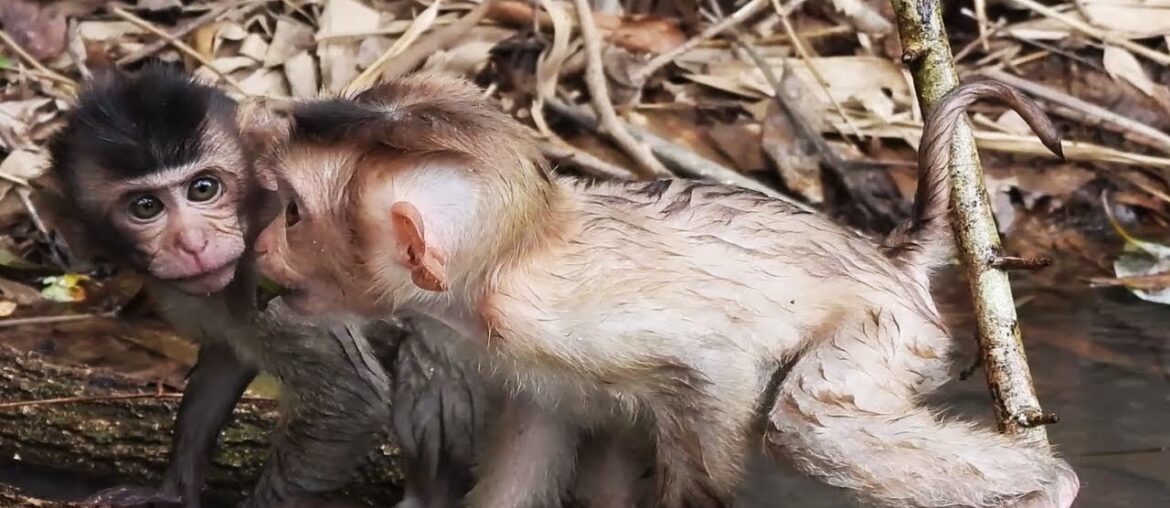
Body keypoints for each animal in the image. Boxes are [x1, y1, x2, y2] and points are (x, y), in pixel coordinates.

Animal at [39, 63, 491, 508]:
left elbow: (349, 399)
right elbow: (224, 360)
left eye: (203, 188)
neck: (251, 214)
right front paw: (172, 493)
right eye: (146, 207)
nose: (193, 243)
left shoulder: (275, 278)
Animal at [249, 73, 1081, 508]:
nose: (259, 246)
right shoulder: (518, 364)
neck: (501, 269)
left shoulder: (553, 320)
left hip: (887, 332)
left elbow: (717, 370)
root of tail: (890, 258)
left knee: (810, 427)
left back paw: (1054, 485)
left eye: (292, 215)